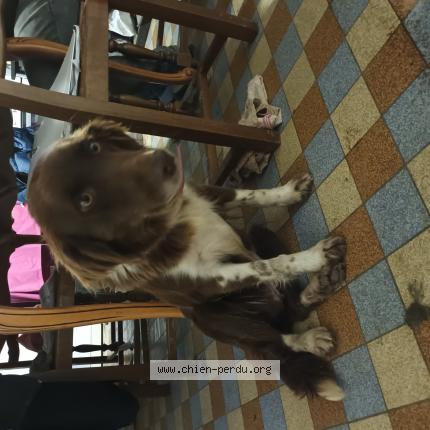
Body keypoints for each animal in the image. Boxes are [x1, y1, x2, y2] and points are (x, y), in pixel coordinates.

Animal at [28, 119, 347, 401]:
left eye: (94, 147)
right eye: (86, 201)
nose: (164, 160)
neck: (171, 222)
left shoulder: (208, 192)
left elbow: (251, 195)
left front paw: (289, 193)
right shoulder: (214, 280)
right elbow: (268, 265)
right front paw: (314, 257)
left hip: (257, 232)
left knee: (293, 306)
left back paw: (319, 286)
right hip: (214, 318)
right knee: (273, 343)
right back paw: (308, 337)